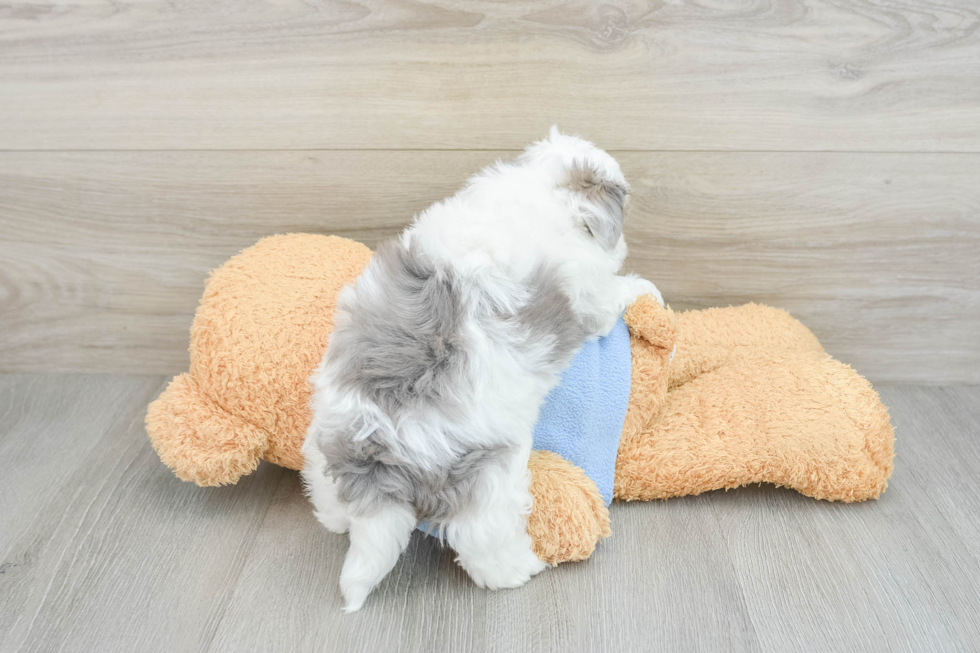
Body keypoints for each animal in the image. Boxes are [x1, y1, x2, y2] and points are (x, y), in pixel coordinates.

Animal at [302, 129, 664, 612]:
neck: (543, 189)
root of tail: (381, 447)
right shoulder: (589, 295)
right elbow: (614, 295)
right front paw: (645, 288)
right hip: (486, 471)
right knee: (480, 538)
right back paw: (521, 570)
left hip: (323, 439)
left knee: (329, 497)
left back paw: (337, 520)